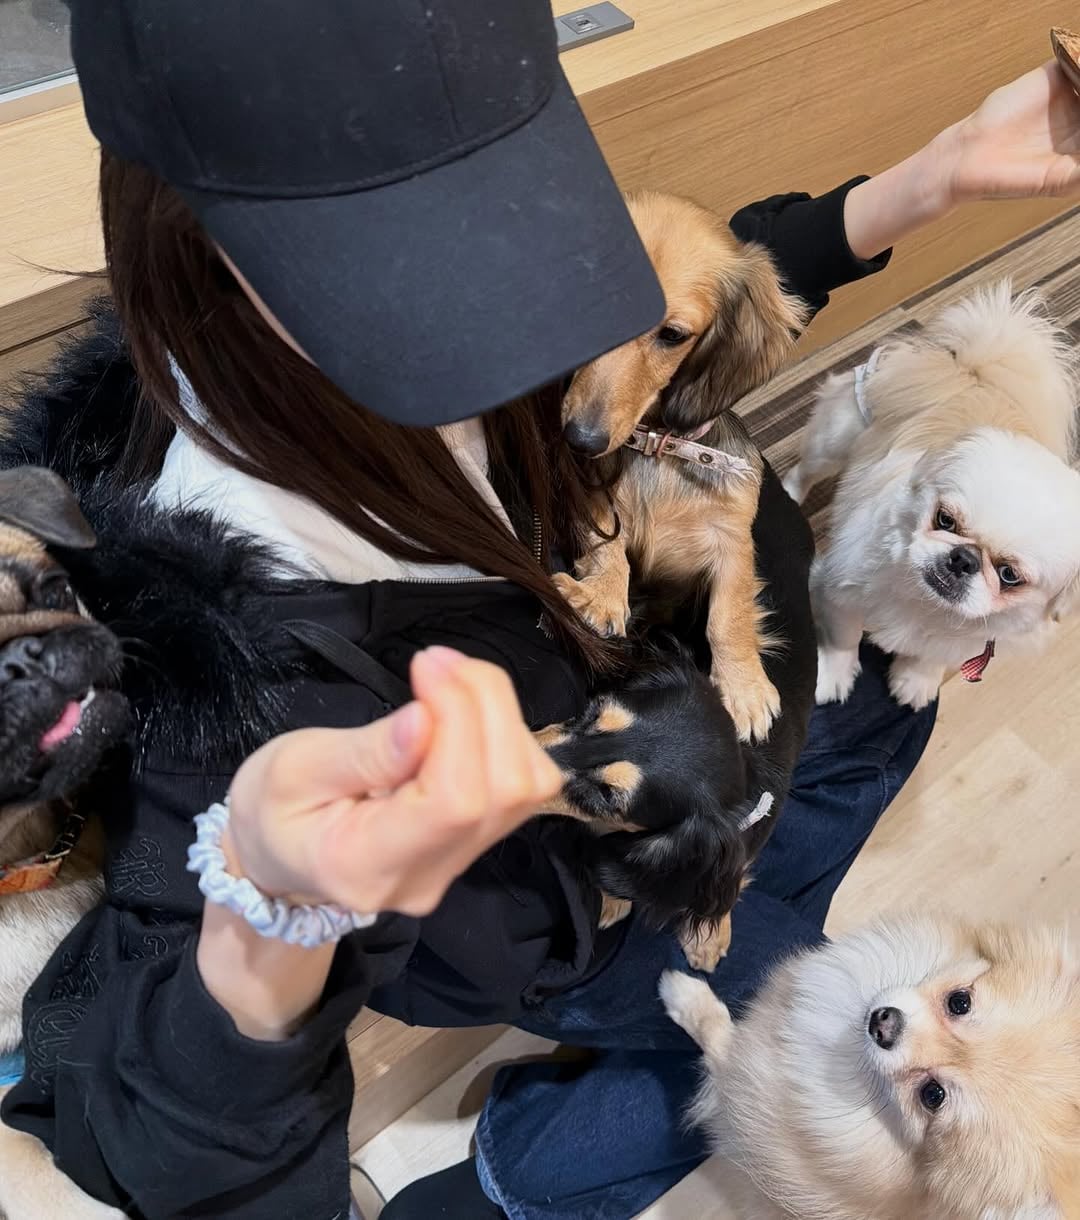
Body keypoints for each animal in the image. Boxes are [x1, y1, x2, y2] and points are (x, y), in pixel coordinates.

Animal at [555, 190, 808, 743]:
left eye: (672, 335)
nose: (580, 440)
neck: (659, 450)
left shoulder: (732, 538)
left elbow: (729, 616)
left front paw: (744, 688)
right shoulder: (596, 500)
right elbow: (609, 546)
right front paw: (601, 596)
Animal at [662, 914, 1080, 1219]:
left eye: (933, 1095)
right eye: (959, 1002)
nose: (883, 1024)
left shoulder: (741, 1088)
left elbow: (718, 1040)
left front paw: (682, 994)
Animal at [784, 282, 1080, 711]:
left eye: (1009, 575)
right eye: (945, 520)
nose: (963, 559)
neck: (927, 605)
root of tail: (968, 372)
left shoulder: (962, 641)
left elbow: (929, 657)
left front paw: (913, 681)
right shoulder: (839, 590)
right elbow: (843, 639)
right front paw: (832, 678)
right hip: (836, 439)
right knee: (804, 470)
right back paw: (789, 493)